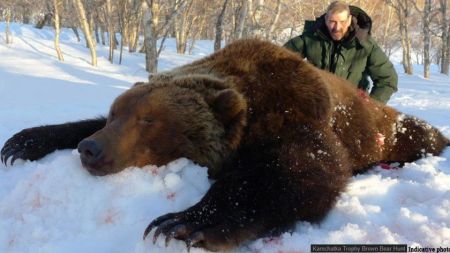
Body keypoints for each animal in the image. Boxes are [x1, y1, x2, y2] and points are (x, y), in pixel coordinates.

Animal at [0, 39, 450, 251]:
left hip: (391, 129)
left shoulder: (296, 110)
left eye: (149, 121)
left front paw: (183, 222)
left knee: (419, 134)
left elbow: (303, 172)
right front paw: (22, 142)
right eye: (116, 114)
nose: (91, 150)